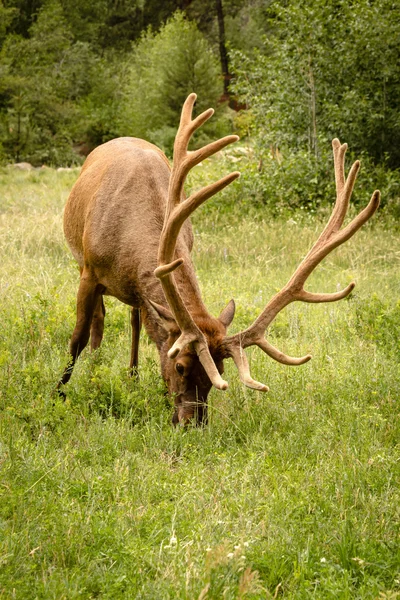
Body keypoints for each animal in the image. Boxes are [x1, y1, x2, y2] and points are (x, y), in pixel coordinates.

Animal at [57, 91, 382, 424]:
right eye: (180, 366)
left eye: (218, 373)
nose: (192, 423)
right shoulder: (89, 271)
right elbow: (77, 337)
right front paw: (59, 392)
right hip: (81, 260)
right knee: (100, 319)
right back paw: (94, 367)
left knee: (136, 319)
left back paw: (131, 375)